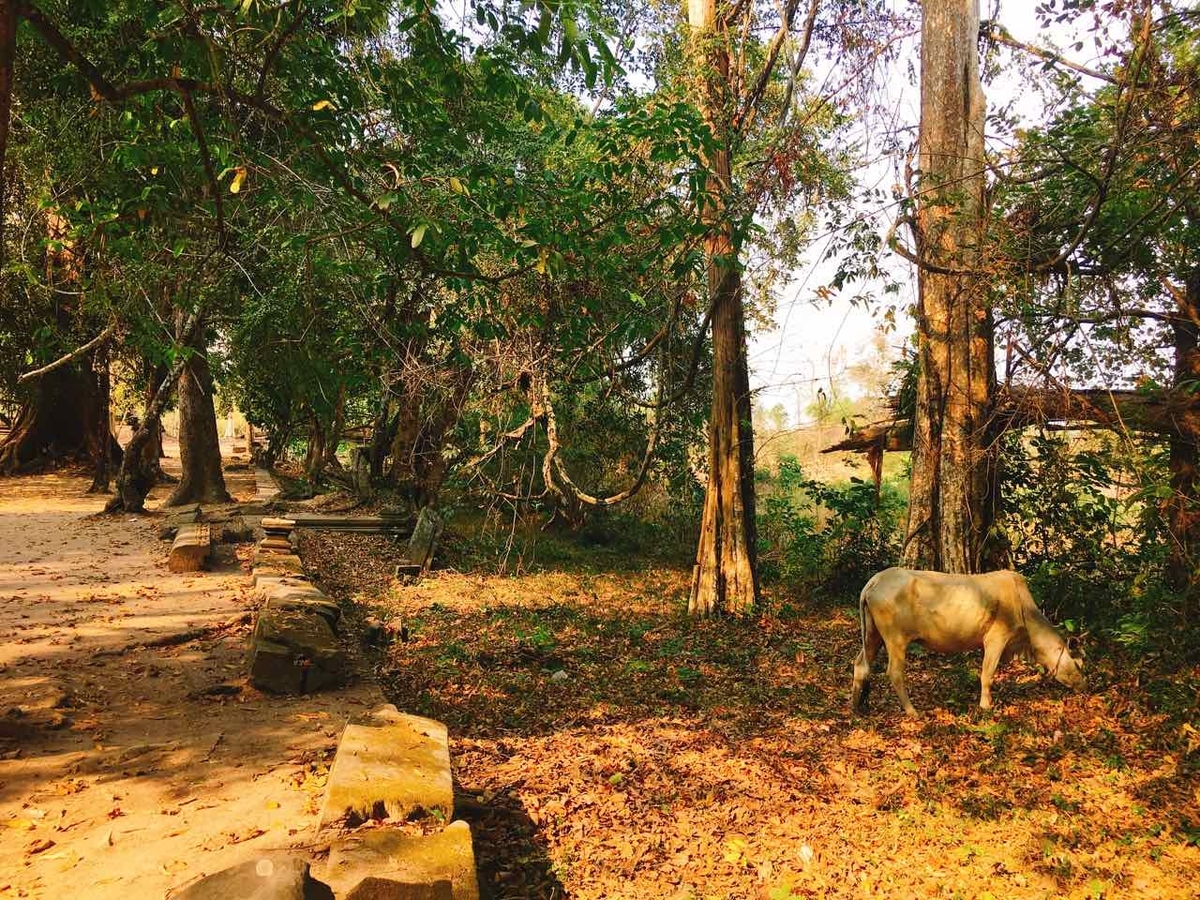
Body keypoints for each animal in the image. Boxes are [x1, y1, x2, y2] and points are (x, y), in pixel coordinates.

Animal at [844, 571, 1089, 720]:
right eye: (1078, 664)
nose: (1084, 686)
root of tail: (874, 581)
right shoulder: (996, 638)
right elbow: (987, 675)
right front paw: (986, 706)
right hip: (895, 638)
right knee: (894, 672)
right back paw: (912, 711)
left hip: (873, 635)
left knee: (860, 664)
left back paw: (857, 706)